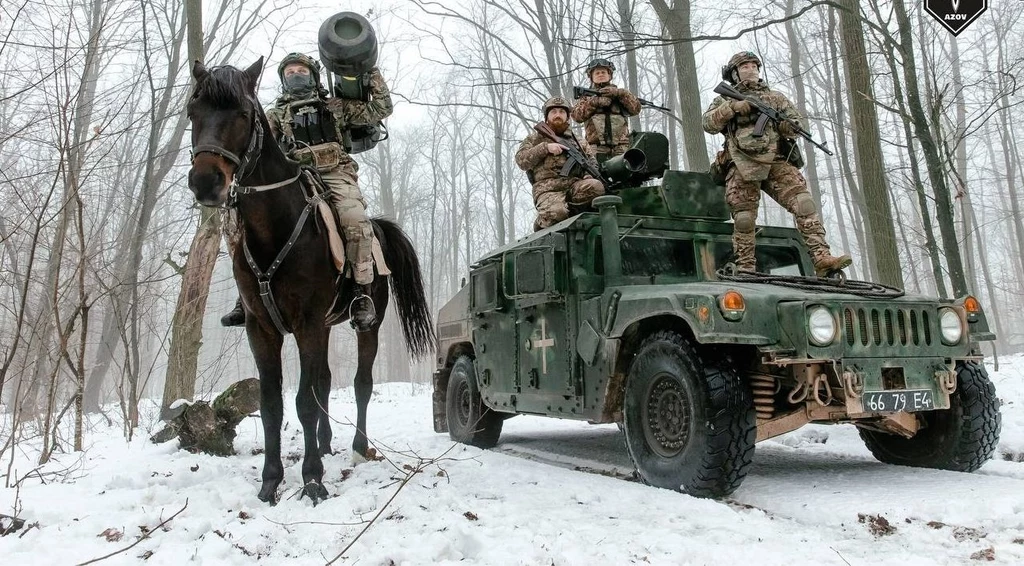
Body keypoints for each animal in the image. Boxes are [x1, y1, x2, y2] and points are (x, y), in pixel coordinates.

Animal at [186, 59, 434, 503]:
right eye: (192, 112)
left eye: (243, 114)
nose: (206, 181)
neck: (274, 228)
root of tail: (378, 226)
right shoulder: (262, 328)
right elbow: (272, 403)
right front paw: (270, 481)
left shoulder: (308, 324)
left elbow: (303, 400)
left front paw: (313, 479)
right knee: (325, 382)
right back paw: (325, 441)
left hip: (365, 324)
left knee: (360, 383)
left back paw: (357, 448)